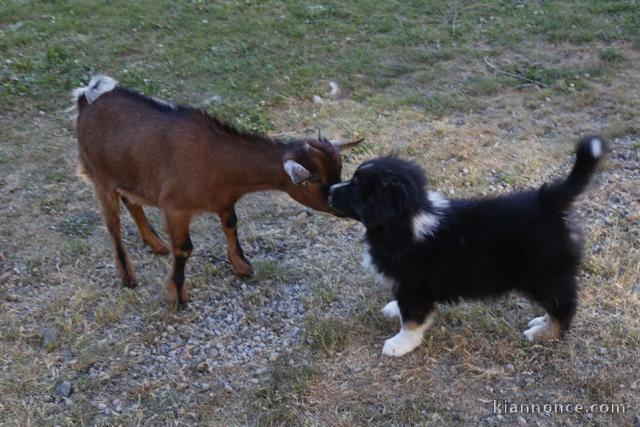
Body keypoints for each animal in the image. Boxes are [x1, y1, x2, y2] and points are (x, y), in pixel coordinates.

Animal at [73, 75, 362, 306]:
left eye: (338, 172)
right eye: (314, 180)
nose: (338, 203)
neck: (218, 162)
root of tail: (87, 102)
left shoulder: (225, 201)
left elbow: (231, 226)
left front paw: (242, 266)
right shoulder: (175, 207)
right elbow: (184, 248)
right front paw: (177, 296)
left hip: (128, 174)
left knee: (131, 201)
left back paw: (156, 245)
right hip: (100, 176)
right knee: (113, 223)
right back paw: (128, 276)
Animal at [330, 138, 604, 358]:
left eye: (355, 186)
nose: (330, 190)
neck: (406, 221)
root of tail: (549, 202)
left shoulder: (413, 286)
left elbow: (411, 319)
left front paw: (399, 344)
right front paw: (393, 309)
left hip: (542, 274)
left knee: (564, 305)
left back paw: (544, 333)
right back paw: (542, 321)